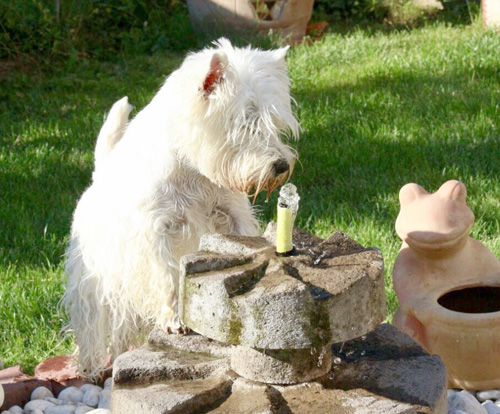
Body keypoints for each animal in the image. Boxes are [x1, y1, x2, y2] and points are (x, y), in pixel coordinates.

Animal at [64, 38, 298, 378]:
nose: (281, 165)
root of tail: (99, 173)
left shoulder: (232, 215)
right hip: (94, 275)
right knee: (91, 322)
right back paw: (91, 368)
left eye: (274, 123)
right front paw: (175, 319)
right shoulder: (154, 231)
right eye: (244, 123)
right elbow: (167, 275)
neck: (192, 170)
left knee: (121, 328)